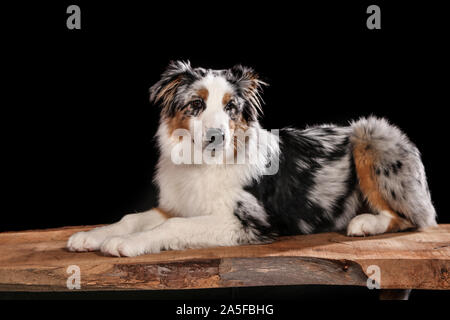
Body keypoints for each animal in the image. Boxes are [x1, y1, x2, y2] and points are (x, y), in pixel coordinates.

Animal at [67, 60, 436, 258]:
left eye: (231, 107)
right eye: (196, 104)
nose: (217, 136)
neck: (206, 163)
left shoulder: (246, 222)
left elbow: (172, 226)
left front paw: (124, 244)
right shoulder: (177, 204)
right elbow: (133, 218)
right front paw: (93, 235)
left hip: (370, 134)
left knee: (412, 217)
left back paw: (364, 223)